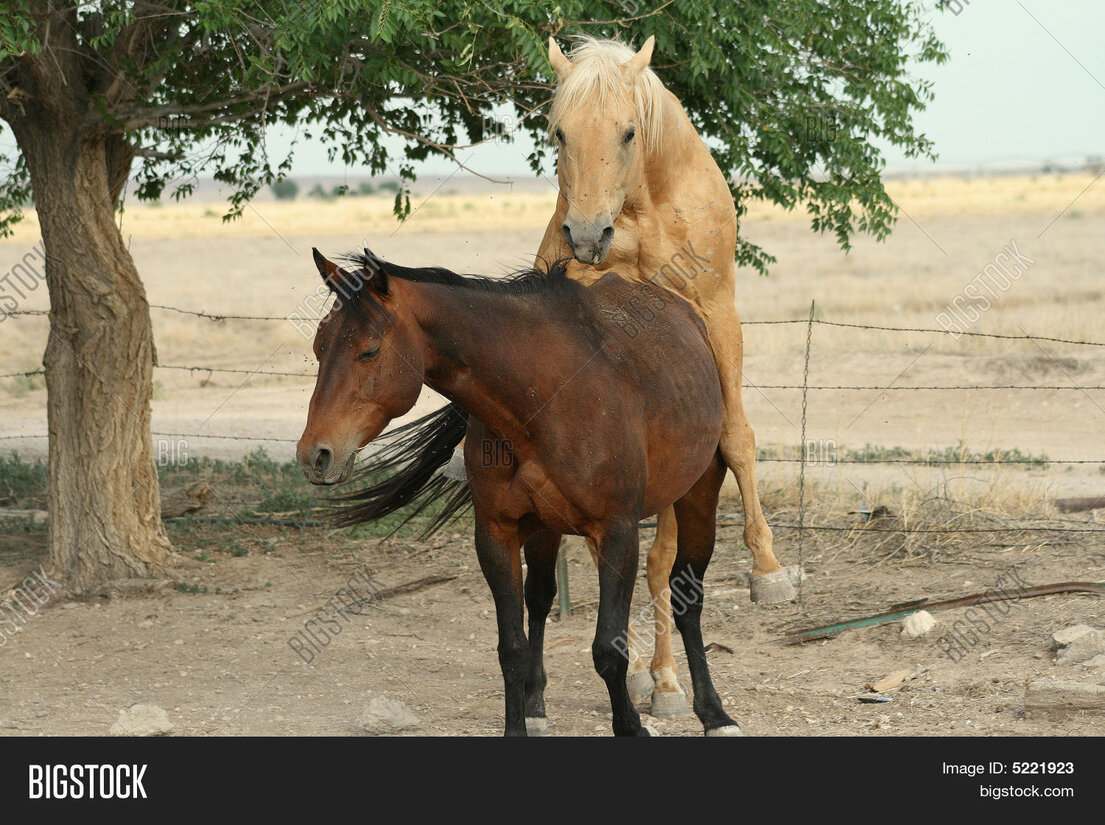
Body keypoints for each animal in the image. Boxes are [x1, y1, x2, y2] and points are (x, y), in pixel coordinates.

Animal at [297, 248, 744, 737]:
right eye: (319, 347)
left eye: (370, 350)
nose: (315, 455)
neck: (545, 397)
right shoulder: (497, 534)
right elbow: (512, 647)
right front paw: (520, 721)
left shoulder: (617, 533)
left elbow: (609, 649)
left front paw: (630, 727)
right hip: (546, 528)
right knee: (542, 597)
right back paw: (536, 704)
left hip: (698, 495)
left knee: (688, 598)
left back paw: (715, 714)